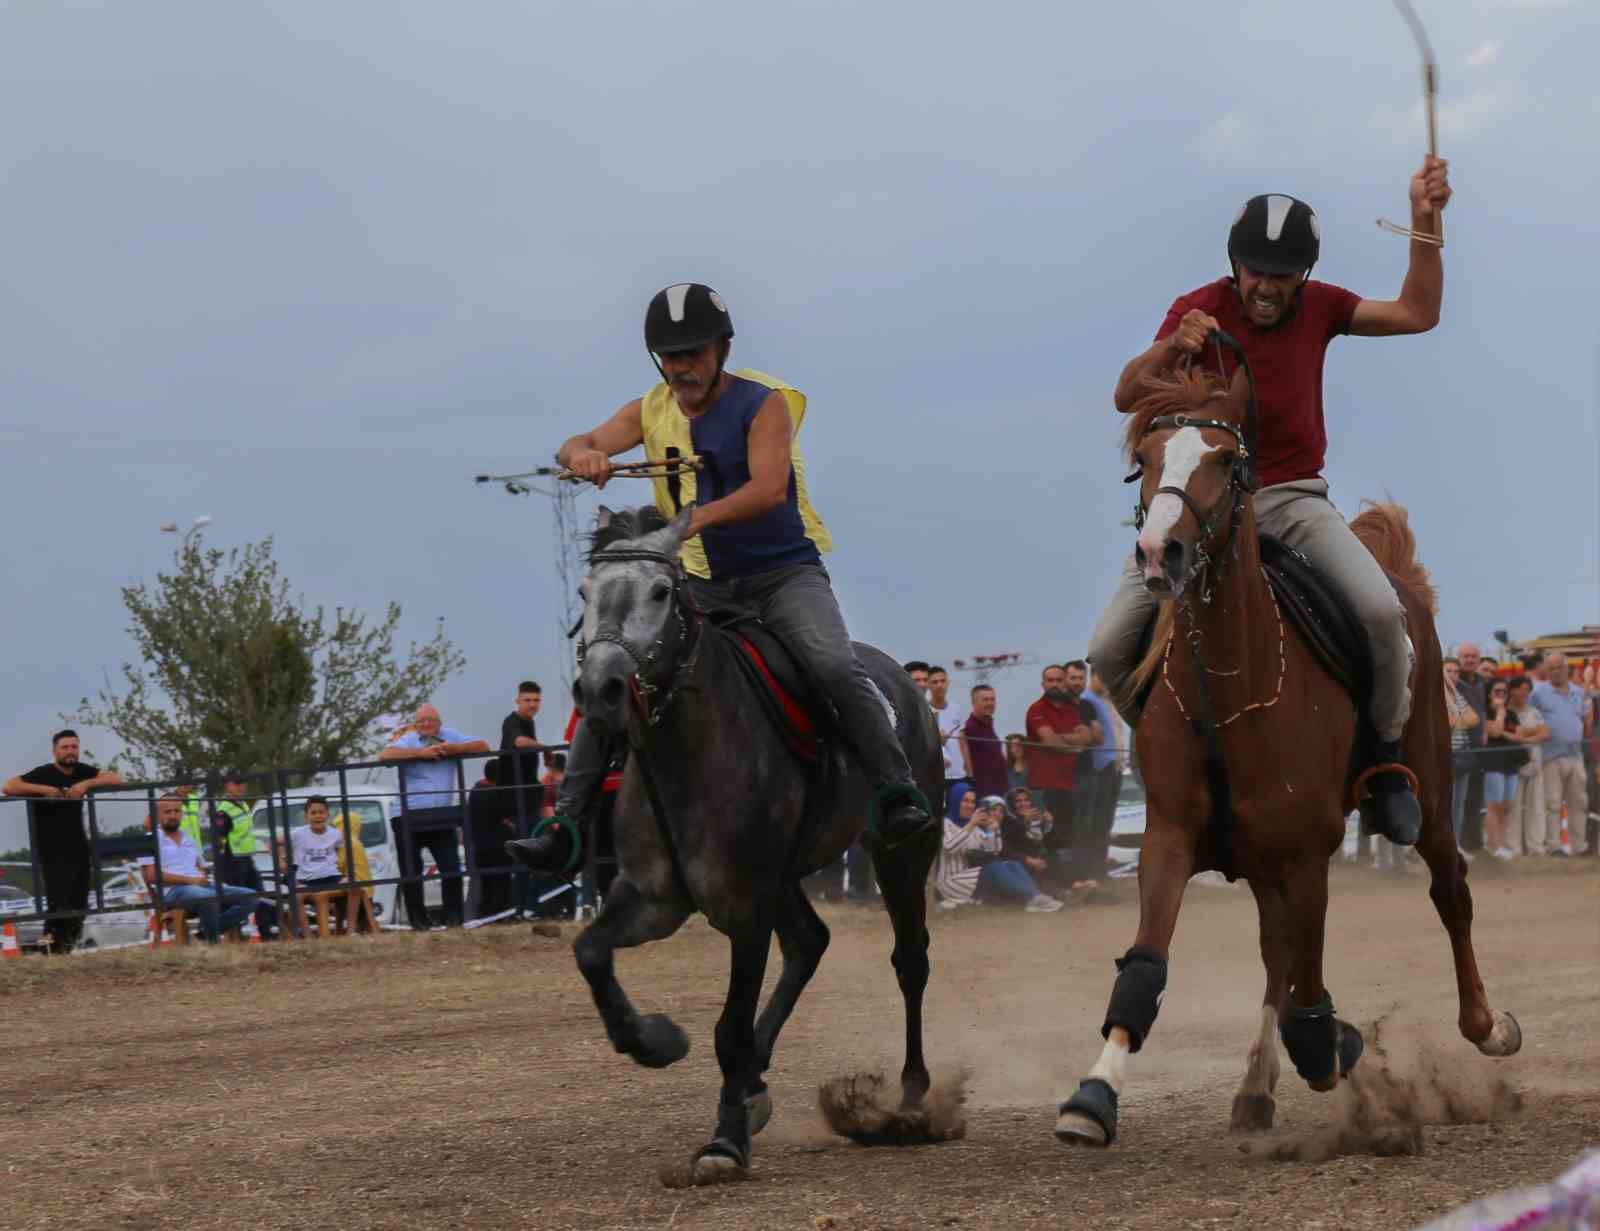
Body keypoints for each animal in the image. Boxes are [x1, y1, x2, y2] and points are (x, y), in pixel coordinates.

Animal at [556, 505, 940, 1178]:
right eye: (585, 593)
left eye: (661, 592)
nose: (600, 689)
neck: (689, 754)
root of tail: (906, 688)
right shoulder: (654, 898)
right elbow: (592, 953)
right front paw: (655, 1041)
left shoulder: (746, 906)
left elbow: (729, 1029)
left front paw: (724, 1142)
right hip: (787, 876)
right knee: (810, 943)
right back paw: (756, 1085)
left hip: (902, 855)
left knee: (909, 961)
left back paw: (911, 1094)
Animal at [1056, 361, 1516, 1139]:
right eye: (1145, 460)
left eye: (1224, 459)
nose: (1158, 552)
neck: (1228, 688)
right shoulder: (1171, 838)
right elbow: (1150, 960)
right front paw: (1094, 1093)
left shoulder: (1306, 853)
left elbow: (1309, 986)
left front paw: (1334, 1043)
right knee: (1279, 954)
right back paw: (1257, 1087)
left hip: (1427, 788)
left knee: (1449, 889)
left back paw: (1484, 1026)